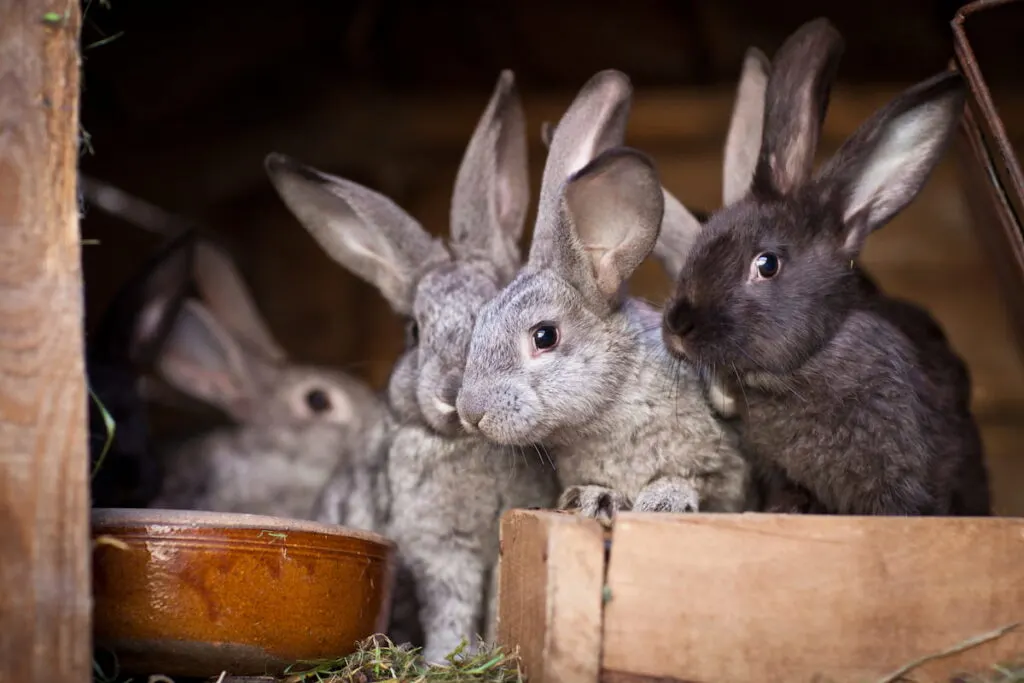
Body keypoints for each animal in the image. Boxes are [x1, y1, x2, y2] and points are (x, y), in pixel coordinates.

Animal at [260, 70, 557, 663]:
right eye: (415, 332)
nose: (452, 394)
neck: (467, 445)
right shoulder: (441, 551)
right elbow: (451, 608)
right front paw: (449, 659)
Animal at [456, 69, 753, 520]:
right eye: (482, 318)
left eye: (545, 336)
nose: (471, 412)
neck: (611, 405)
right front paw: (590, 498)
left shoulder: (724, 468)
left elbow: (694, 479)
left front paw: (663, 500)